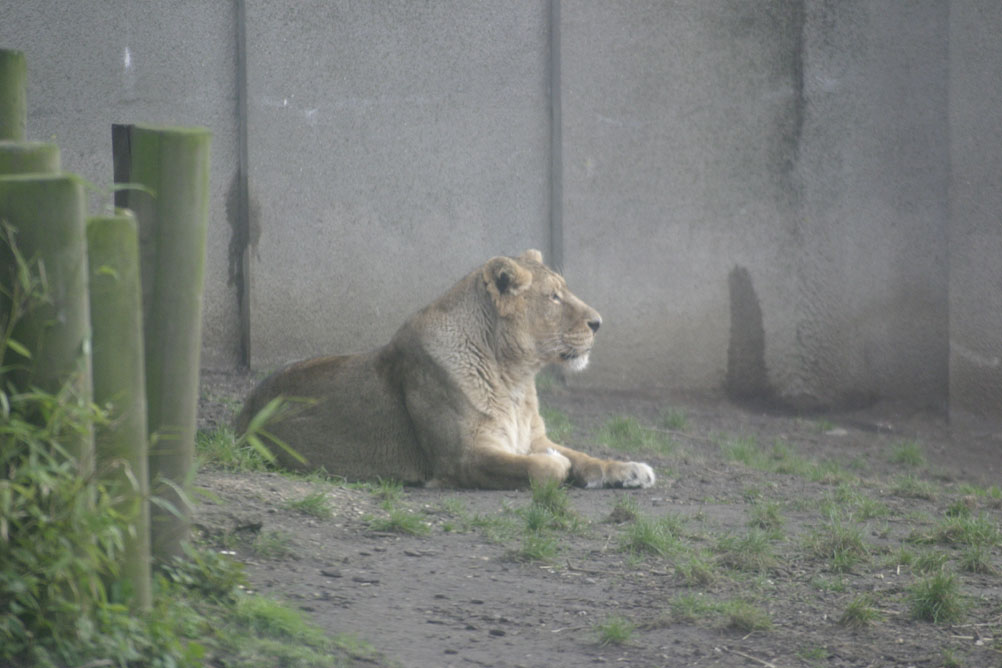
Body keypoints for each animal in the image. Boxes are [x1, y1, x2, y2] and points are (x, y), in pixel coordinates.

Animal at [236, 249, 655, 490]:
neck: (515, 379)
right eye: (553, 296)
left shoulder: (532, 437)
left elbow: (584, 456)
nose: (599, 323)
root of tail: (244, 410)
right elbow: (544, 469)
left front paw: (630, 469)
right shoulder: (463, 458)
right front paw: (556, 463)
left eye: (563, 290)